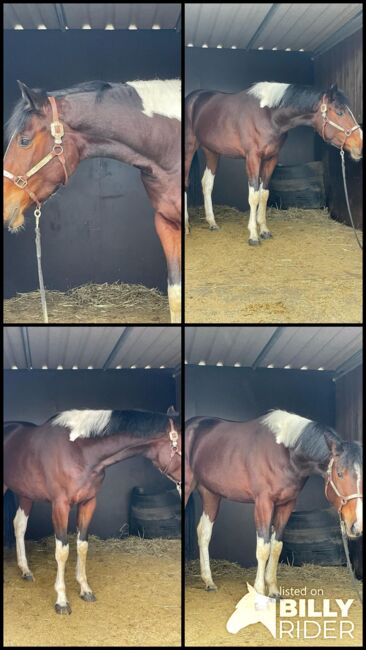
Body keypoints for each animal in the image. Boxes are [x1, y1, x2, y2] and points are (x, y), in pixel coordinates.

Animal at [2, 404, 180, 612]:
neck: (79, 451)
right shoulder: (60, 506)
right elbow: (62, 551)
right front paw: (61, 600)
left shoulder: (88, 502)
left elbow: (82, 546)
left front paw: (85, 589)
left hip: (26, 494)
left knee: (19, 525)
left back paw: (25, 570)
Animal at [184, 410, 362, 596]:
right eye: (340, 473)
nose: (356, 526)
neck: (284, 453)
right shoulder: (263, 503)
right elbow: (263, 548)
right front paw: (259, 591)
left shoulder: (287, 504)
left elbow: (276, 547)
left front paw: (274, 590)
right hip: (187, 487)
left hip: (211, 493)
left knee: (204, 533)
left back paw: (209, 581)